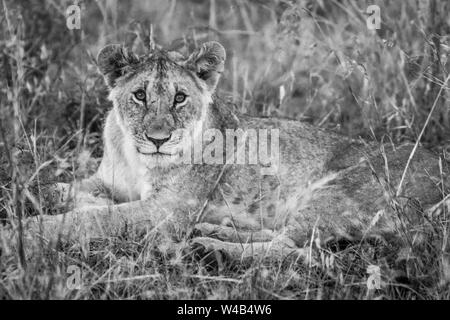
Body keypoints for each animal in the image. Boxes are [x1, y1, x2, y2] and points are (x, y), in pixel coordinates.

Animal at [7, 40, 450, 262]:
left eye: (180, 98)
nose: (158, 139)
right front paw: (26, 194)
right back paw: (212, 231)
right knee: (283, 236)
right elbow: (63, 189)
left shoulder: (168, 209)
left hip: (339, 192)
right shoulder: (108, 183)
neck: (135, 158)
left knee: (295, 251)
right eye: (139, 95)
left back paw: (211, 249)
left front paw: (23, 232)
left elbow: (95, 220)